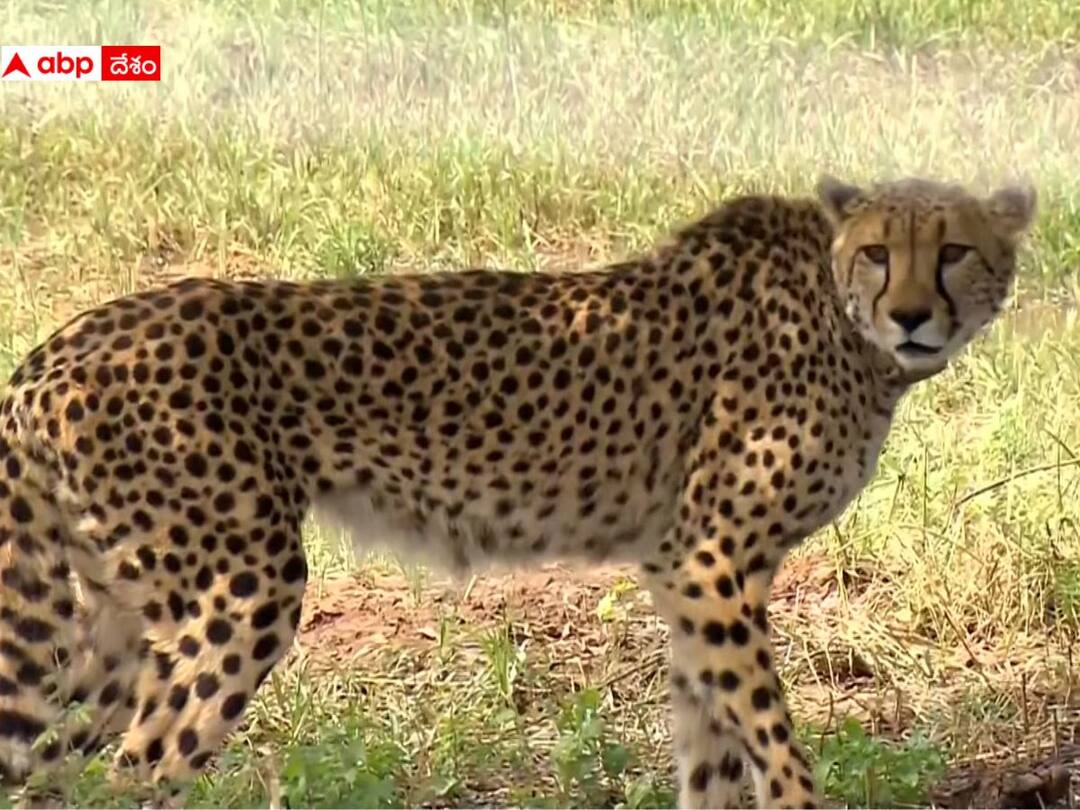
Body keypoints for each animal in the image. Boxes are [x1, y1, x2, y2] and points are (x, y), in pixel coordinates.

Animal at [0, 173, 1035, 808]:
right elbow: (773, 745)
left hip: (120, 617)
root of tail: (58, 345)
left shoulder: (691, 576)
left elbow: (712, 744)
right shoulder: (708, 561)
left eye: (954, 250)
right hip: (236, 594)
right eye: (879, 252)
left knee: (53, 766)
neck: (844, 320)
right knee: (137, 772)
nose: (914, 316)